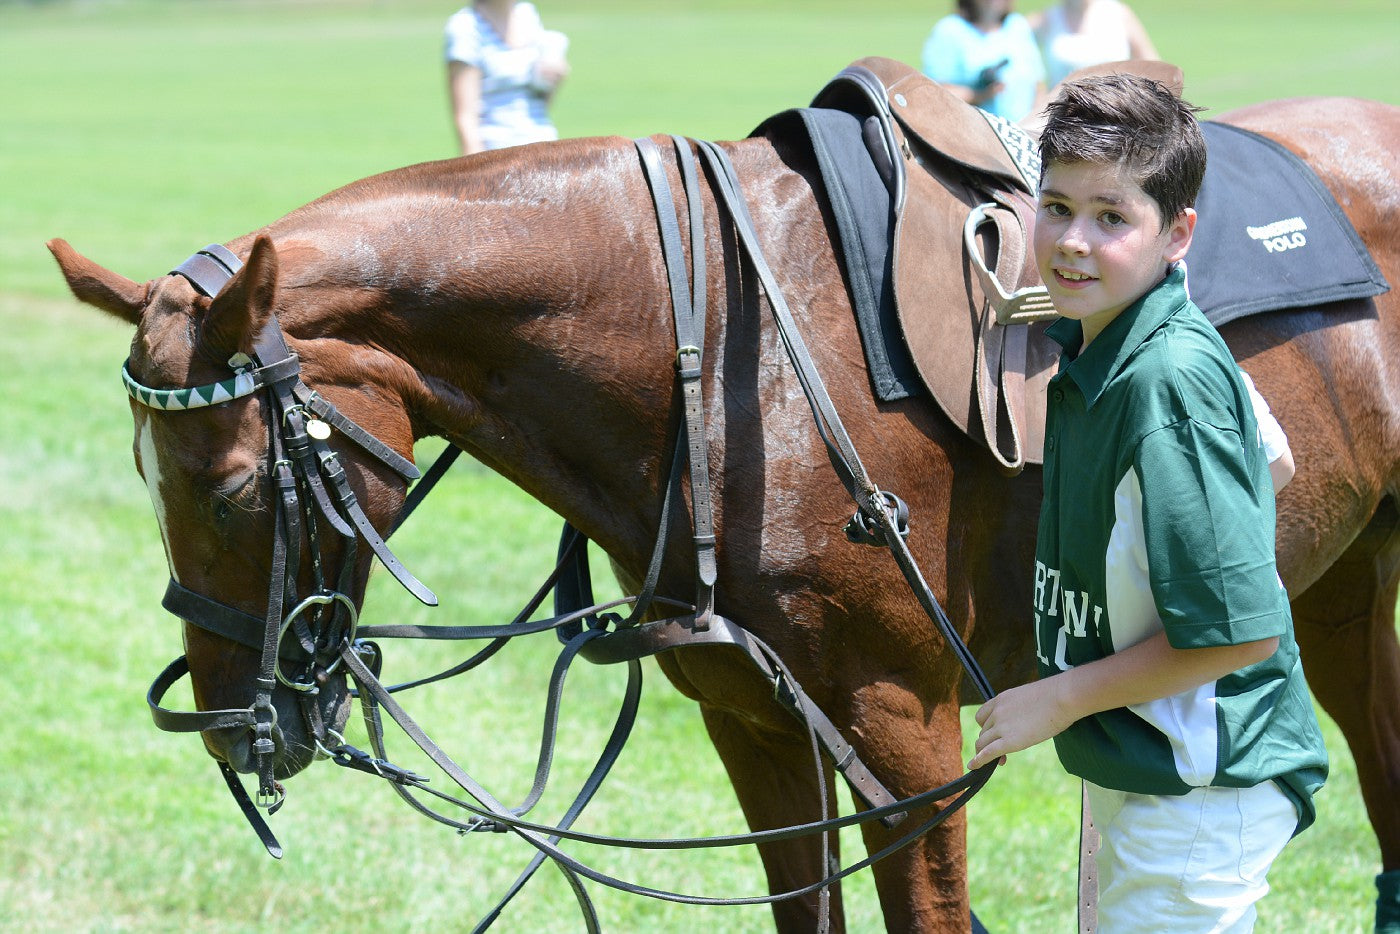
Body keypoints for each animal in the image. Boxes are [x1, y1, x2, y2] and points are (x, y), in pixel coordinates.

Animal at [49, 85, 1394, 929]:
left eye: (232, 489)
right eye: (142, 481)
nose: (233, 730)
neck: (713, 369)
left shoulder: (904, 732)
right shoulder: (753, 719)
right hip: (1336, 588)